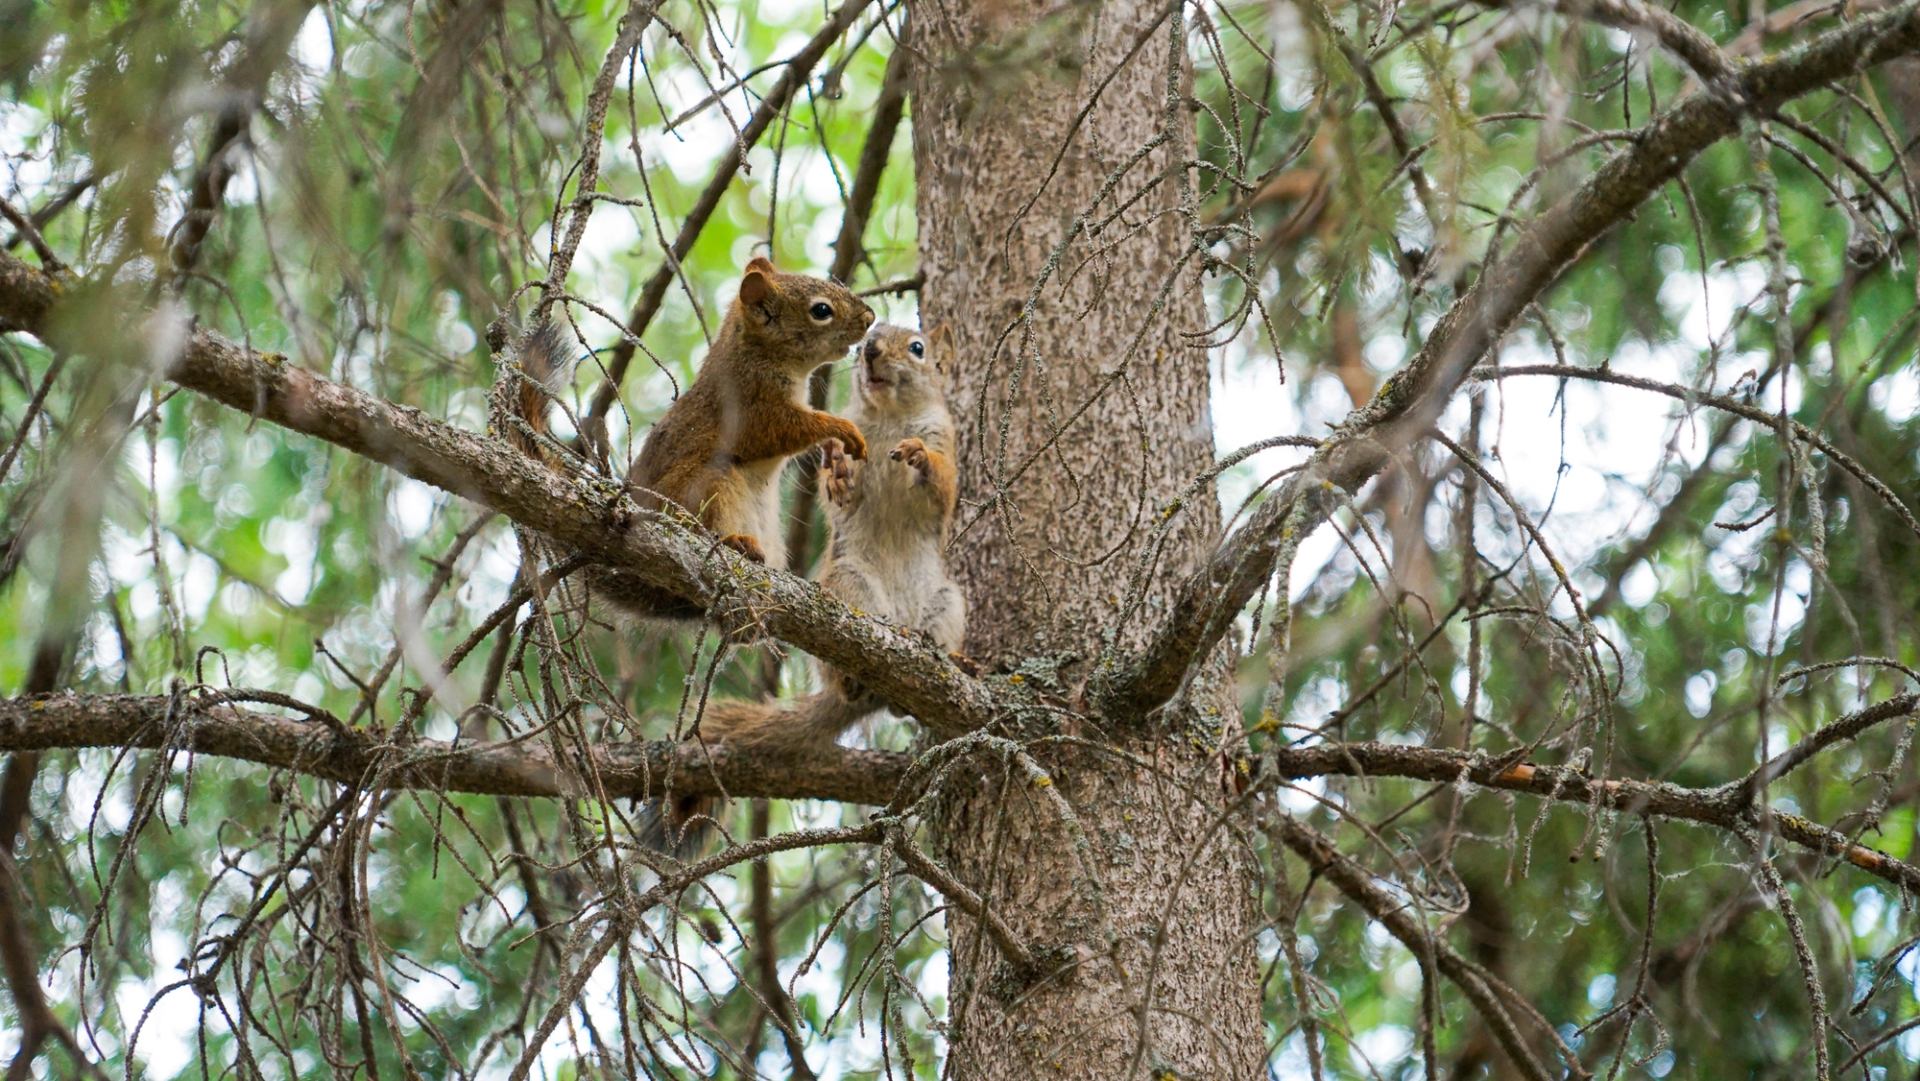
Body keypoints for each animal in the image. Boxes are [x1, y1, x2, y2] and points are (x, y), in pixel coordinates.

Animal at [643, 323, 966, 850]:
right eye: (870, 336)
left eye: (918, 348)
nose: (870, 350)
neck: (890, 416)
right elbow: (843, 497)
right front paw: (837, 471)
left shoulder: (946, 445)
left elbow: (943, 485)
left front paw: (918, 456)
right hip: (850, 583)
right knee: (847, 674)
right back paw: (856, 677)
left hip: (948, 601)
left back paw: (951, 659)